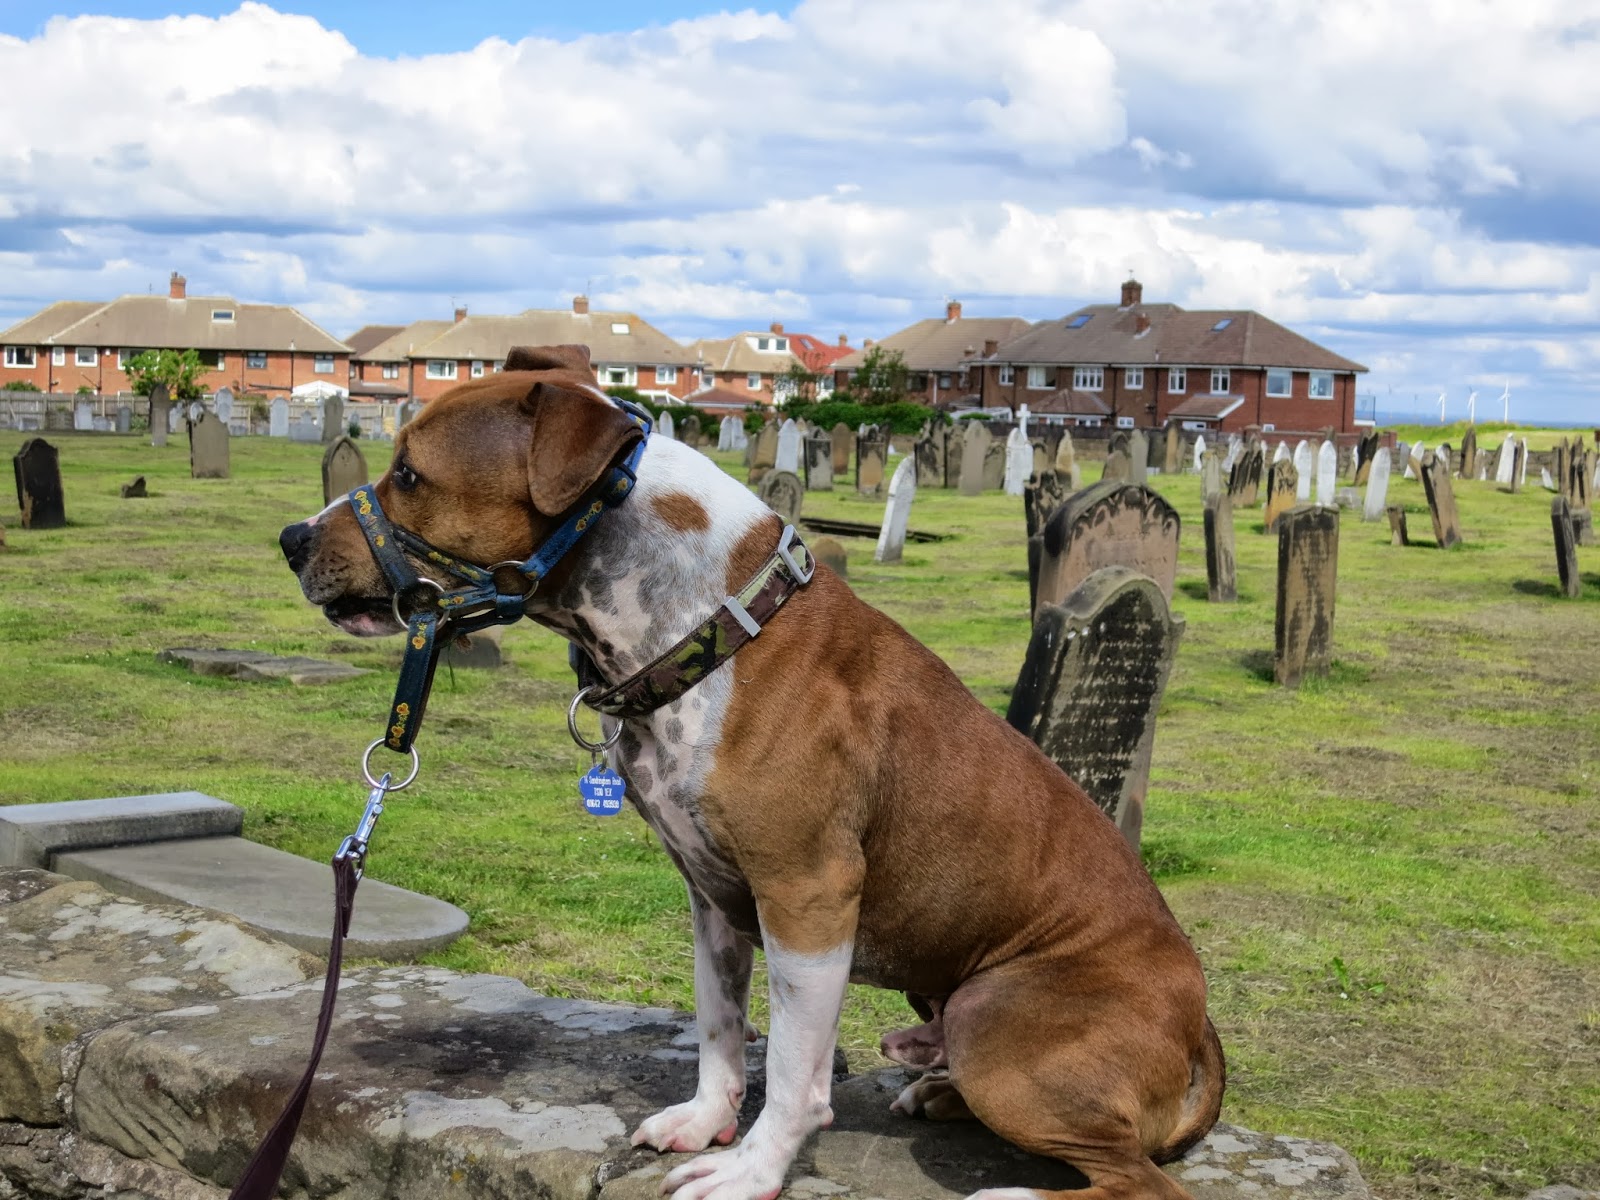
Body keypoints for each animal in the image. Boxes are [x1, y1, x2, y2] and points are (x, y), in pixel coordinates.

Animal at [279, 344, 1224, 1200]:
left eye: (409, 475)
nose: (290, 538)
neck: (709, 624)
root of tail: (1201, 1027)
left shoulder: (807, 898)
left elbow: (798, 1077)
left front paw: (753, 1169)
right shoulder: (714, 896)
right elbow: (721, 1029)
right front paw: (708, 1121)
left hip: (999, 1021)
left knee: (1142, 1182)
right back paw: (934, 1083)